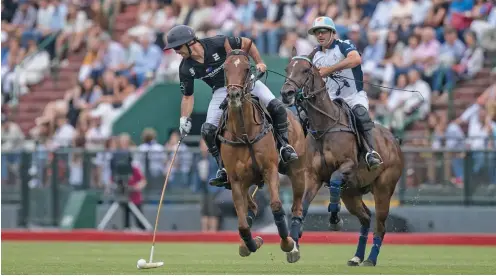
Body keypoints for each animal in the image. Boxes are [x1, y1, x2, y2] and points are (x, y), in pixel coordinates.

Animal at [220, 43, 308, 264]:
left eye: (246, 68)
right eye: (225, 68)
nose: (233, 96)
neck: (244, 133)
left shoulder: (270, 169)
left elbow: (276, 206)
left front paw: (286, 243)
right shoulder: (236, 180)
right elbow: (242, 223)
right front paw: (252, 243)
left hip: (297, 171)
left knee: (296, 207)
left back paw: (294, 247)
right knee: (250, 208)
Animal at [280, 48, 404, 268]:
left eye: (305, 70)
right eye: (287, 69)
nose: (287, 94)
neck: (324, 126)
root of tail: (394, 140)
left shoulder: (348, 165)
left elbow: (335, 180)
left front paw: (335, 218)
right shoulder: (313, 175)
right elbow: (302, 206)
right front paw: (294, 245)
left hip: (384, 187)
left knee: (380, 225)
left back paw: (370, 259)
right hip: (352, 193)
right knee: (365, 218)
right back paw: (357, 257)